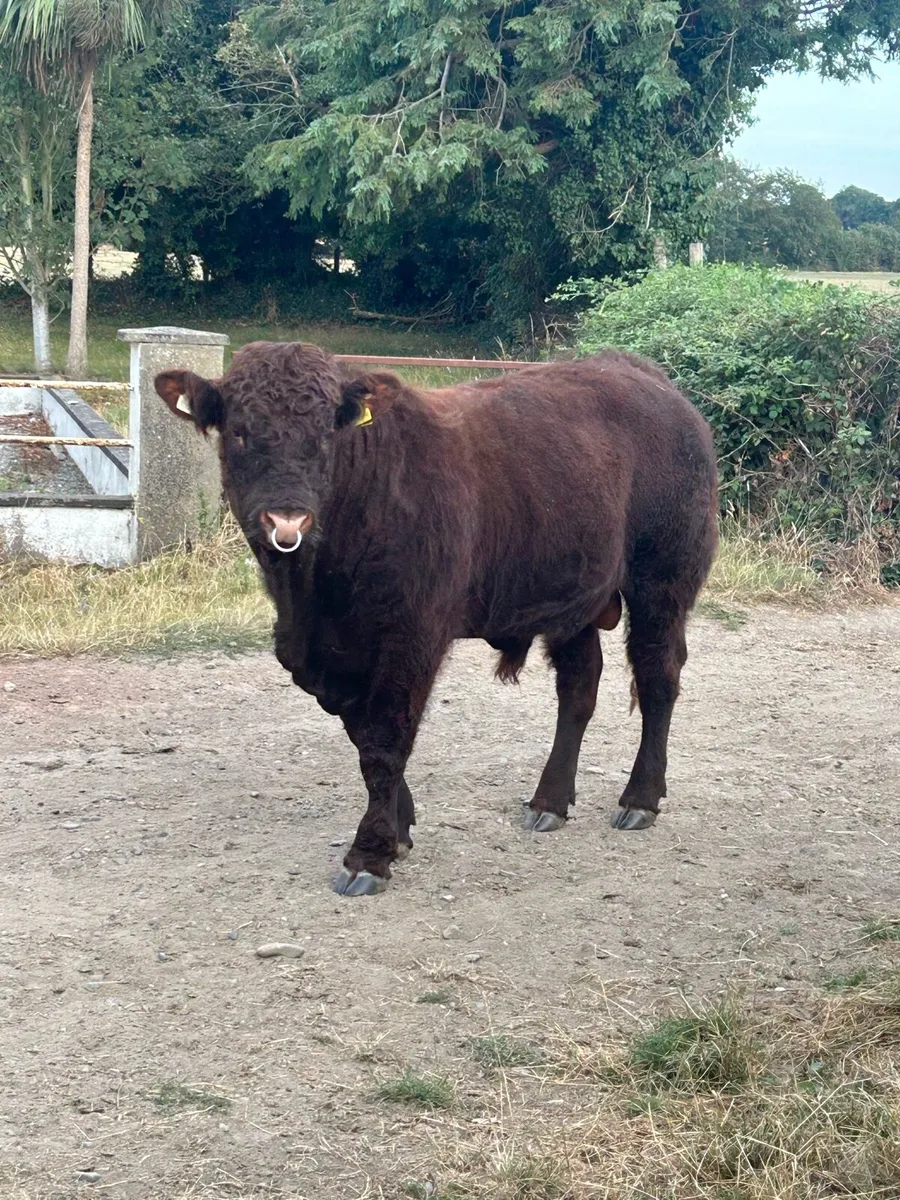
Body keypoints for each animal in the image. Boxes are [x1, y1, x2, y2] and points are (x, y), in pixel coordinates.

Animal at [155, 342, 718, 896]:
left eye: (325, 434)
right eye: (240, 431)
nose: (287, 519)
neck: (313, 594)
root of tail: (641, 373)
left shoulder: (412, 635)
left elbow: (385, 740)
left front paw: (370, 854)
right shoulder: (325, 656)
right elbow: (363, 734)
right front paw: (400, 829)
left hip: (663, 579)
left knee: (658, 677)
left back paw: (639, 798)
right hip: (573, 594)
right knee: (579, 687)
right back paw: (549, 803)